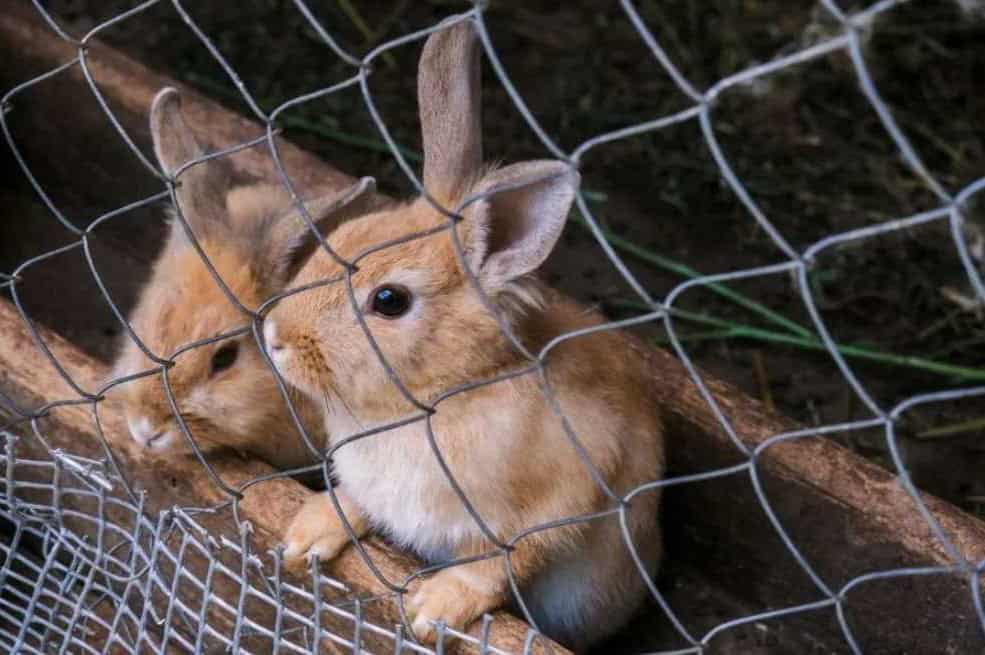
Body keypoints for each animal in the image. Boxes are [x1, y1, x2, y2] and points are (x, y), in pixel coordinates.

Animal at [264, 19, 660, 652]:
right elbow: (357, 502)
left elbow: (500, 565)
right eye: (348, 235)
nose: (274, 336)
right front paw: (305, 535)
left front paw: (434, 611)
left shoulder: (558, 504)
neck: (451, 388)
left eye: (390, 301)